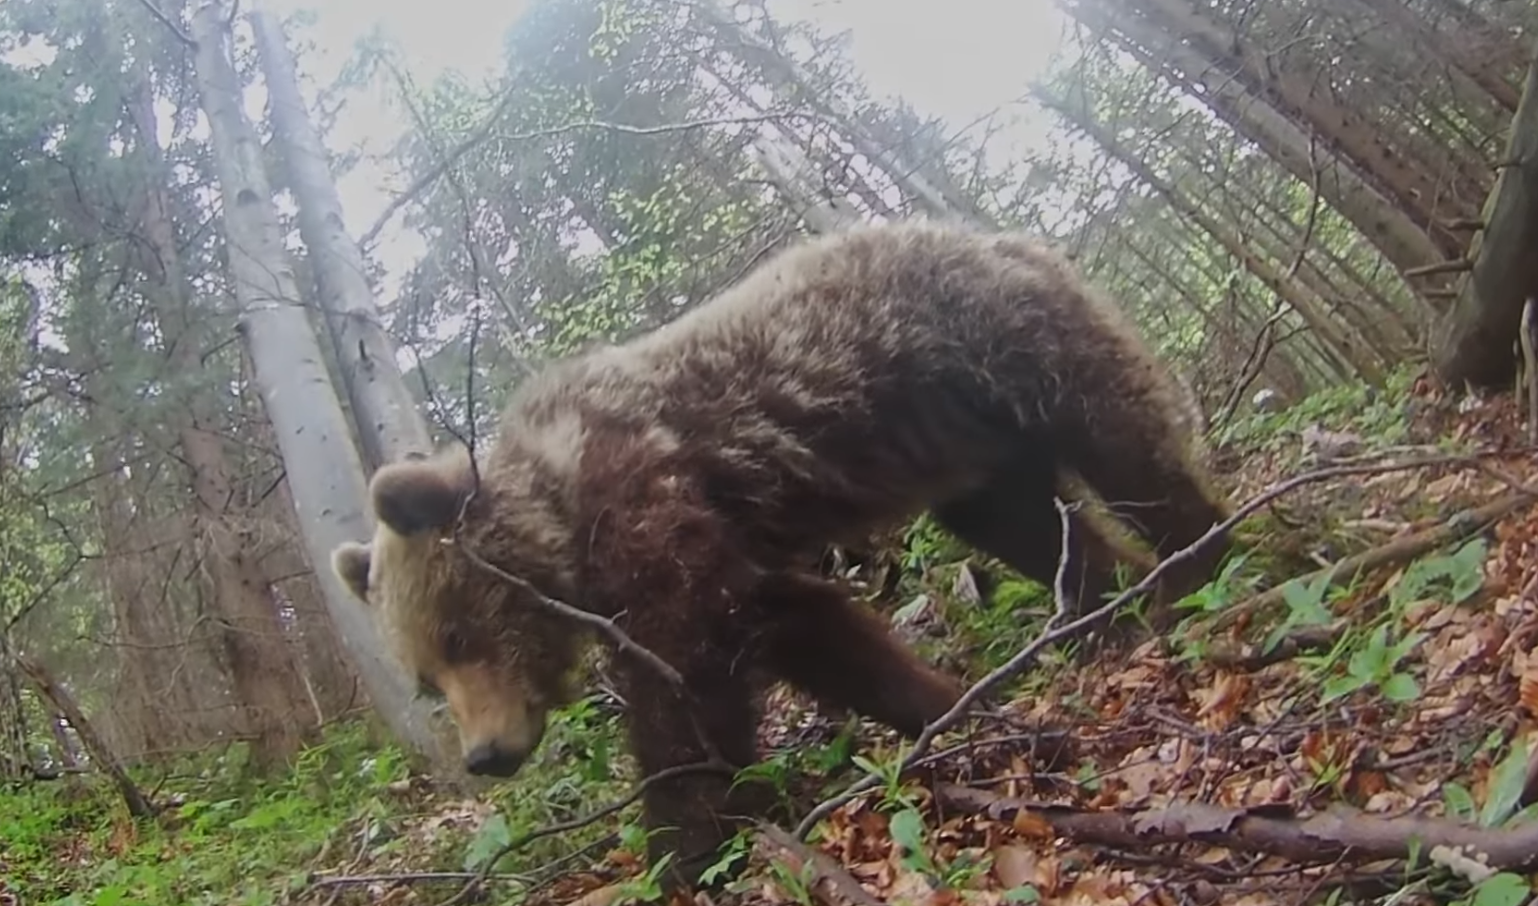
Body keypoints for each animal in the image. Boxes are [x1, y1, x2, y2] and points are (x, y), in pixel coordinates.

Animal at [329, 219, 1233, 885]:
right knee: (1032, 525)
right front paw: (947, 706)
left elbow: (687, 671)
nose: (486, 756)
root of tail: (993, 233)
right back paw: (1104, 612)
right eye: (425, 680)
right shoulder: (734, 549)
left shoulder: (651, 501)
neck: (561, 505)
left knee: (1124, 443)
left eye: (456, 634)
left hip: (995, 343)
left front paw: (682, 844)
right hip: (969, 448)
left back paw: (1198, 563)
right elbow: (815, 631)